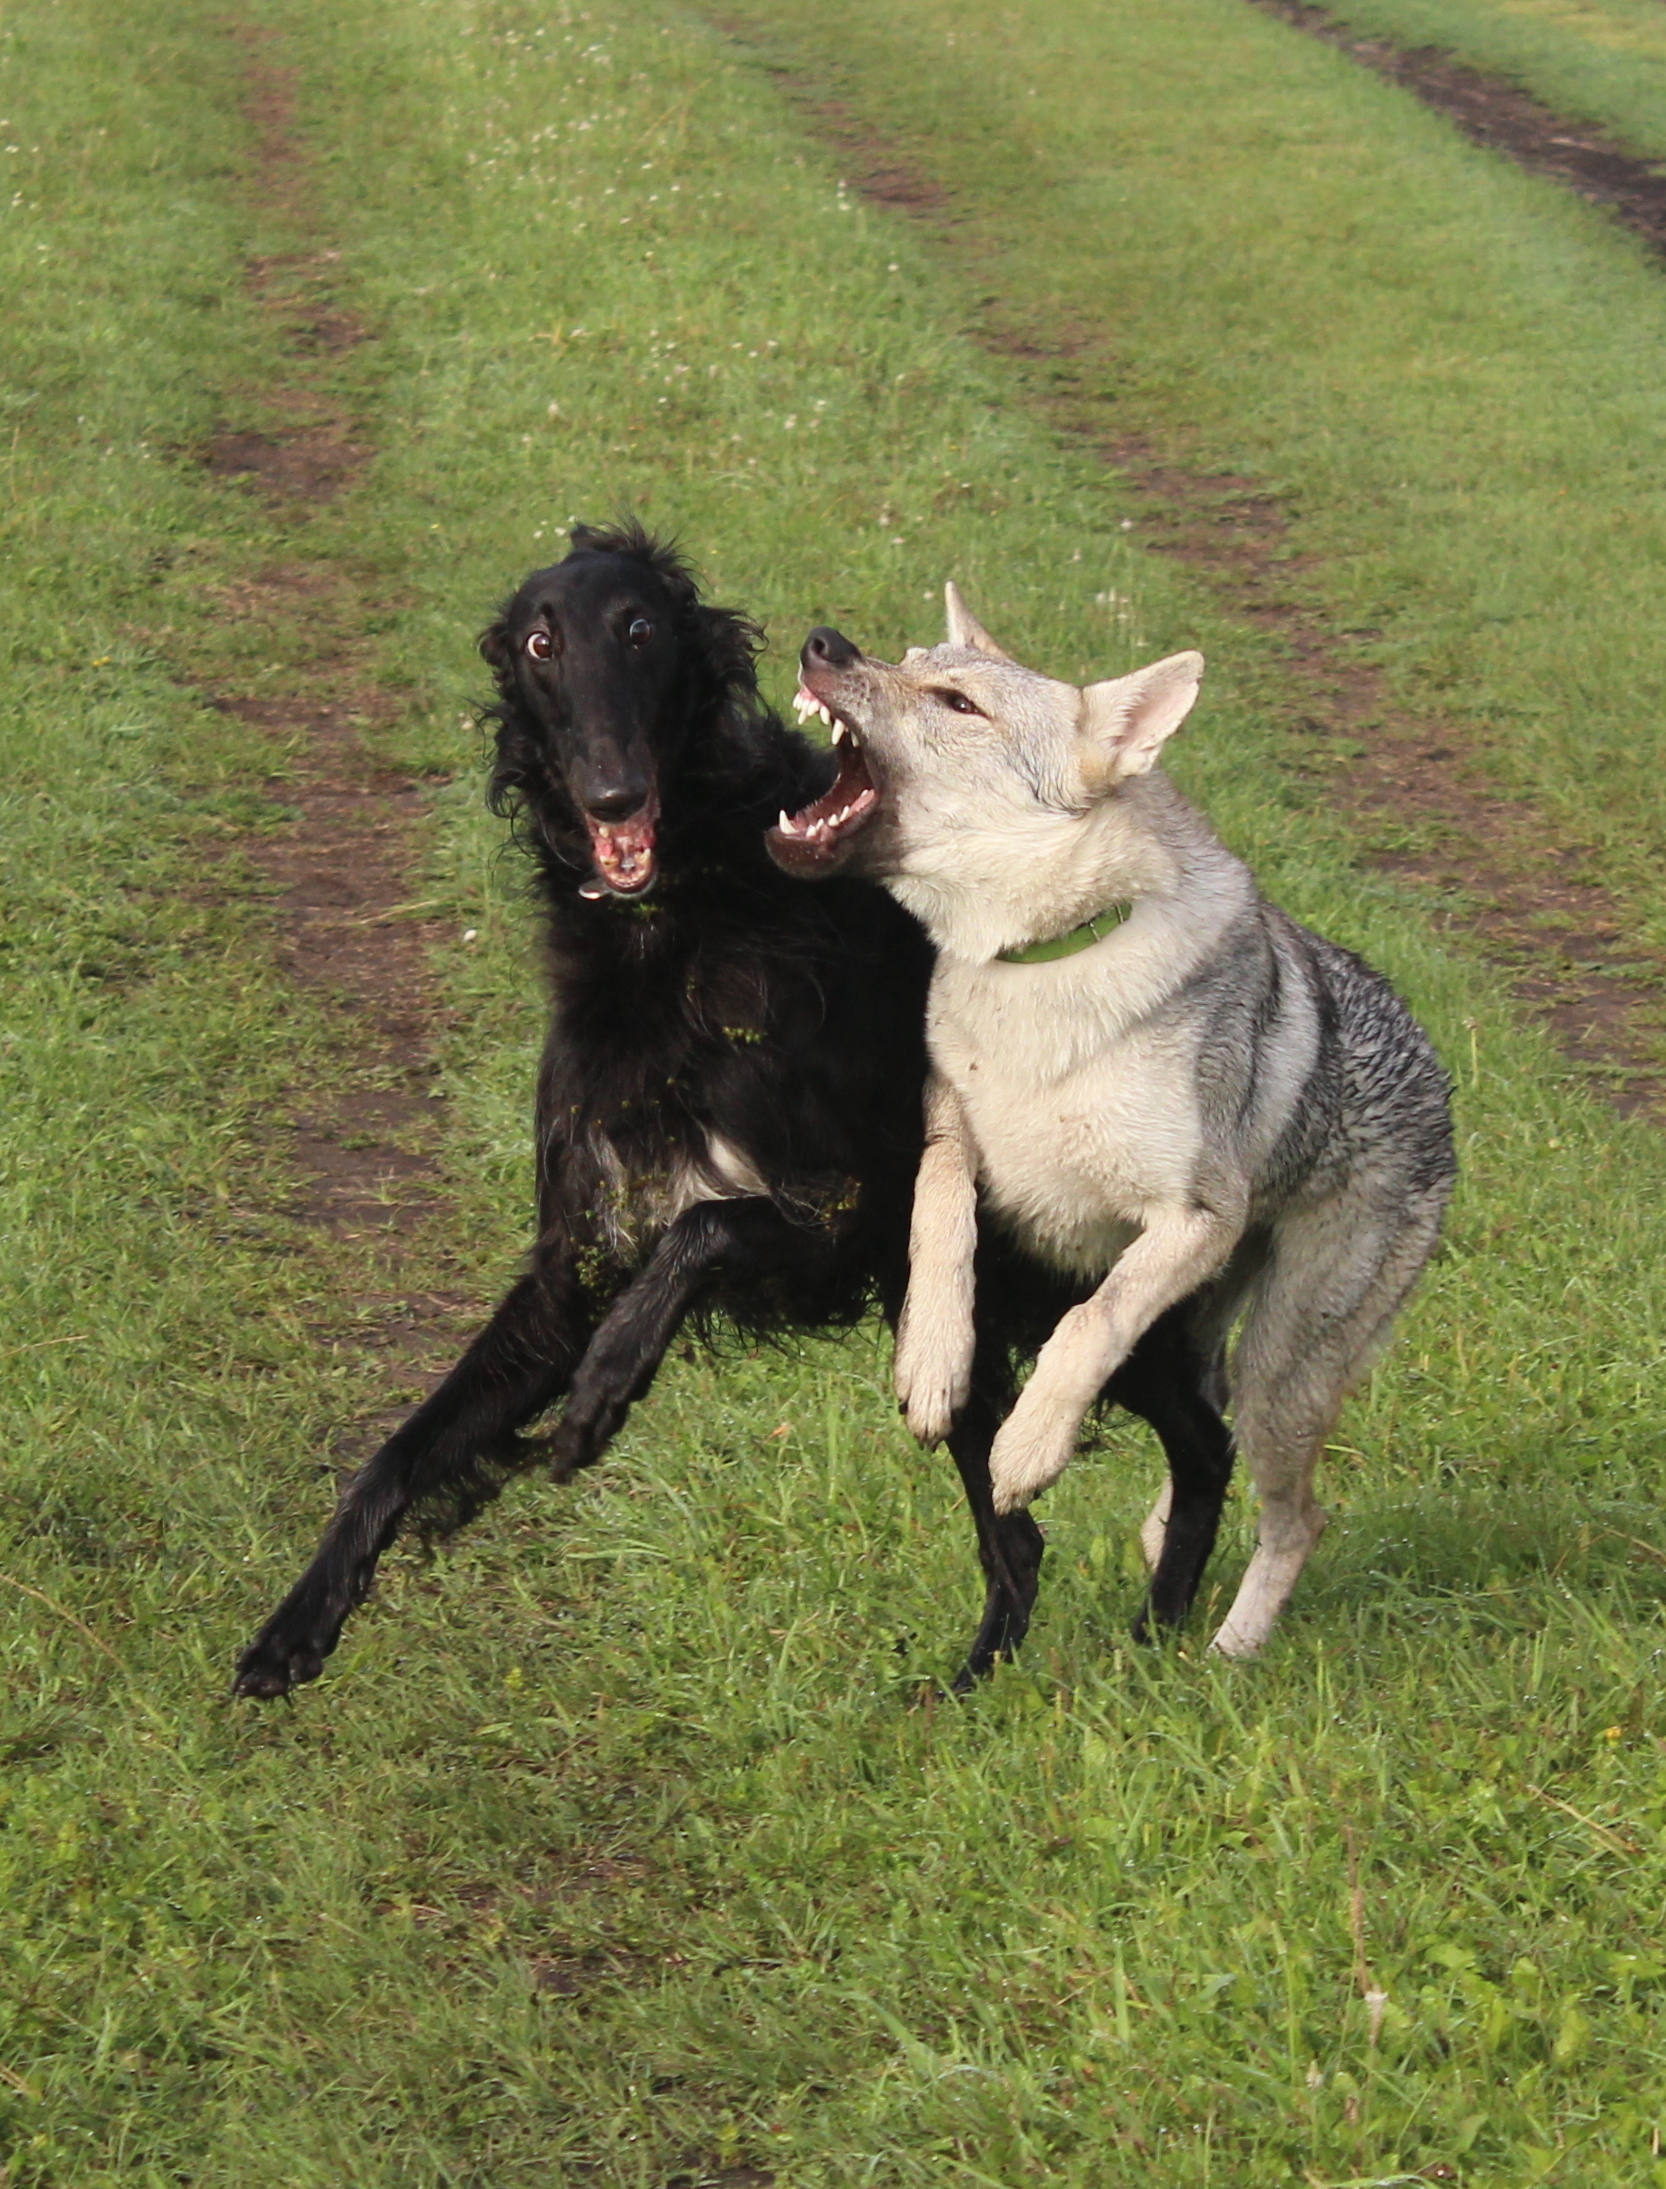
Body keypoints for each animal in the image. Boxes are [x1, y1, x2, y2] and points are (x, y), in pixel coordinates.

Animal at [230, 520, 1225, 1698]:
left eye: (640, 628)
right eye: (538, 642)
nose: (613, 796)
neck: (681, 926)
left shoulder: (847, 1212)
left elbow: (701, 1229)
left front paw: (603, 1390)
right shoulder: (574, 1256)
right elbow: (407, 1444)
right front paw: (299, 1620)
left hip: (1016, 1276)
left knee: (1178, 1436)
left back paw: (1156, 1629)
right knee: (1029, 1528)